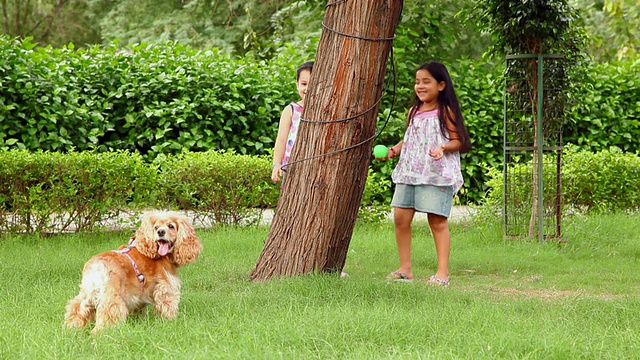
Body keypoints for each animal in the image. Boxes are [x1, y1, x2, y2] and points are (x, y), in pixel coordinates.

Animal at [63, 212, 201, 334]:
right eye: (156, 227)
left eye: (171, 226)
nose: (160, 232)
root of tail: (97, 266)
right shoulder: (166, 287)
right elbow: (168, 307)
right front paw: (170, 322)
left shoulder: (138, 296)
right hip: (112, 299)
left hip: (86, 296)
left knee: (76, 310)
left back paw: (71, 330)